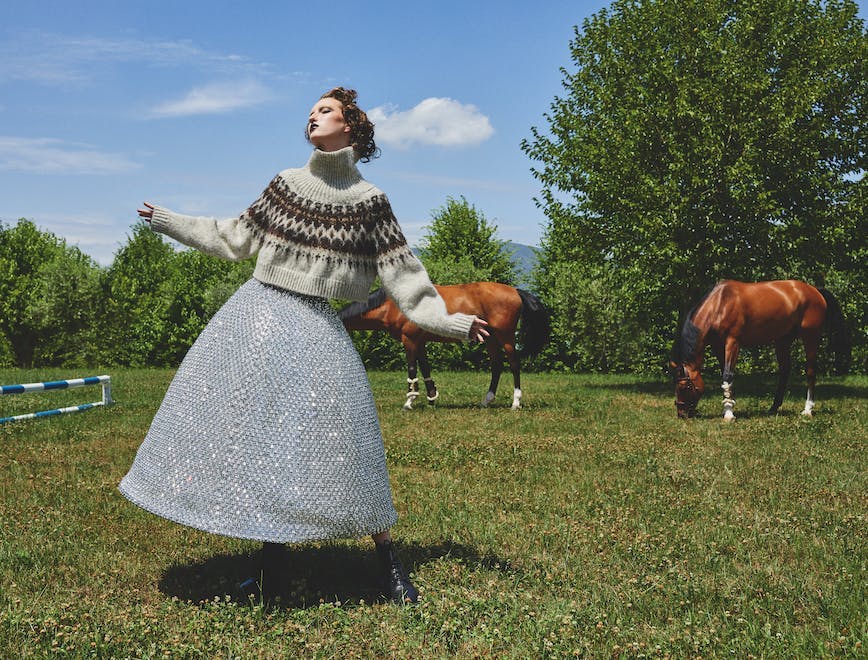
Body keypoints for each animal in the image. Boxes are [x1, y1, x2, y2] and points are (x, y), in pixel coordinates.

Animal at [340, 282, 548, 408]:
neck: (393, 304)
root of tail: (515, 291)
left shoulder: (409, 340)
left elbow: (412, 369)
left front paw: (409, 402)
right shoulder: (420, 342)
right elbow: (425, 369)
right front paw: (432, 398)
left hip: (505, 337)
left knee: (514, 365)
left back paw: (515, 402)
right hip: (490, 338)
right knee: (496, 366)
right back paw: (486, 401)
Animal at [668, 282, 852, 420]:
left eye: (684, 386)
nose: (681, 414)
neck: (720, 304)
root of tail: (815, 290)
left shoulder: (733, 342)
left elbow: (728, 375)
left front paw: (729, 414)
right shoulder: (718, 346)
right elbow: (725, 375)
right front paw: (728, 406)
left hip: (810, 336)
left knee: (811, 371)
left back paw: (807, 409)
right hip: (782, 340)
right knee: (785, 370)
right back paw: (773, 407)